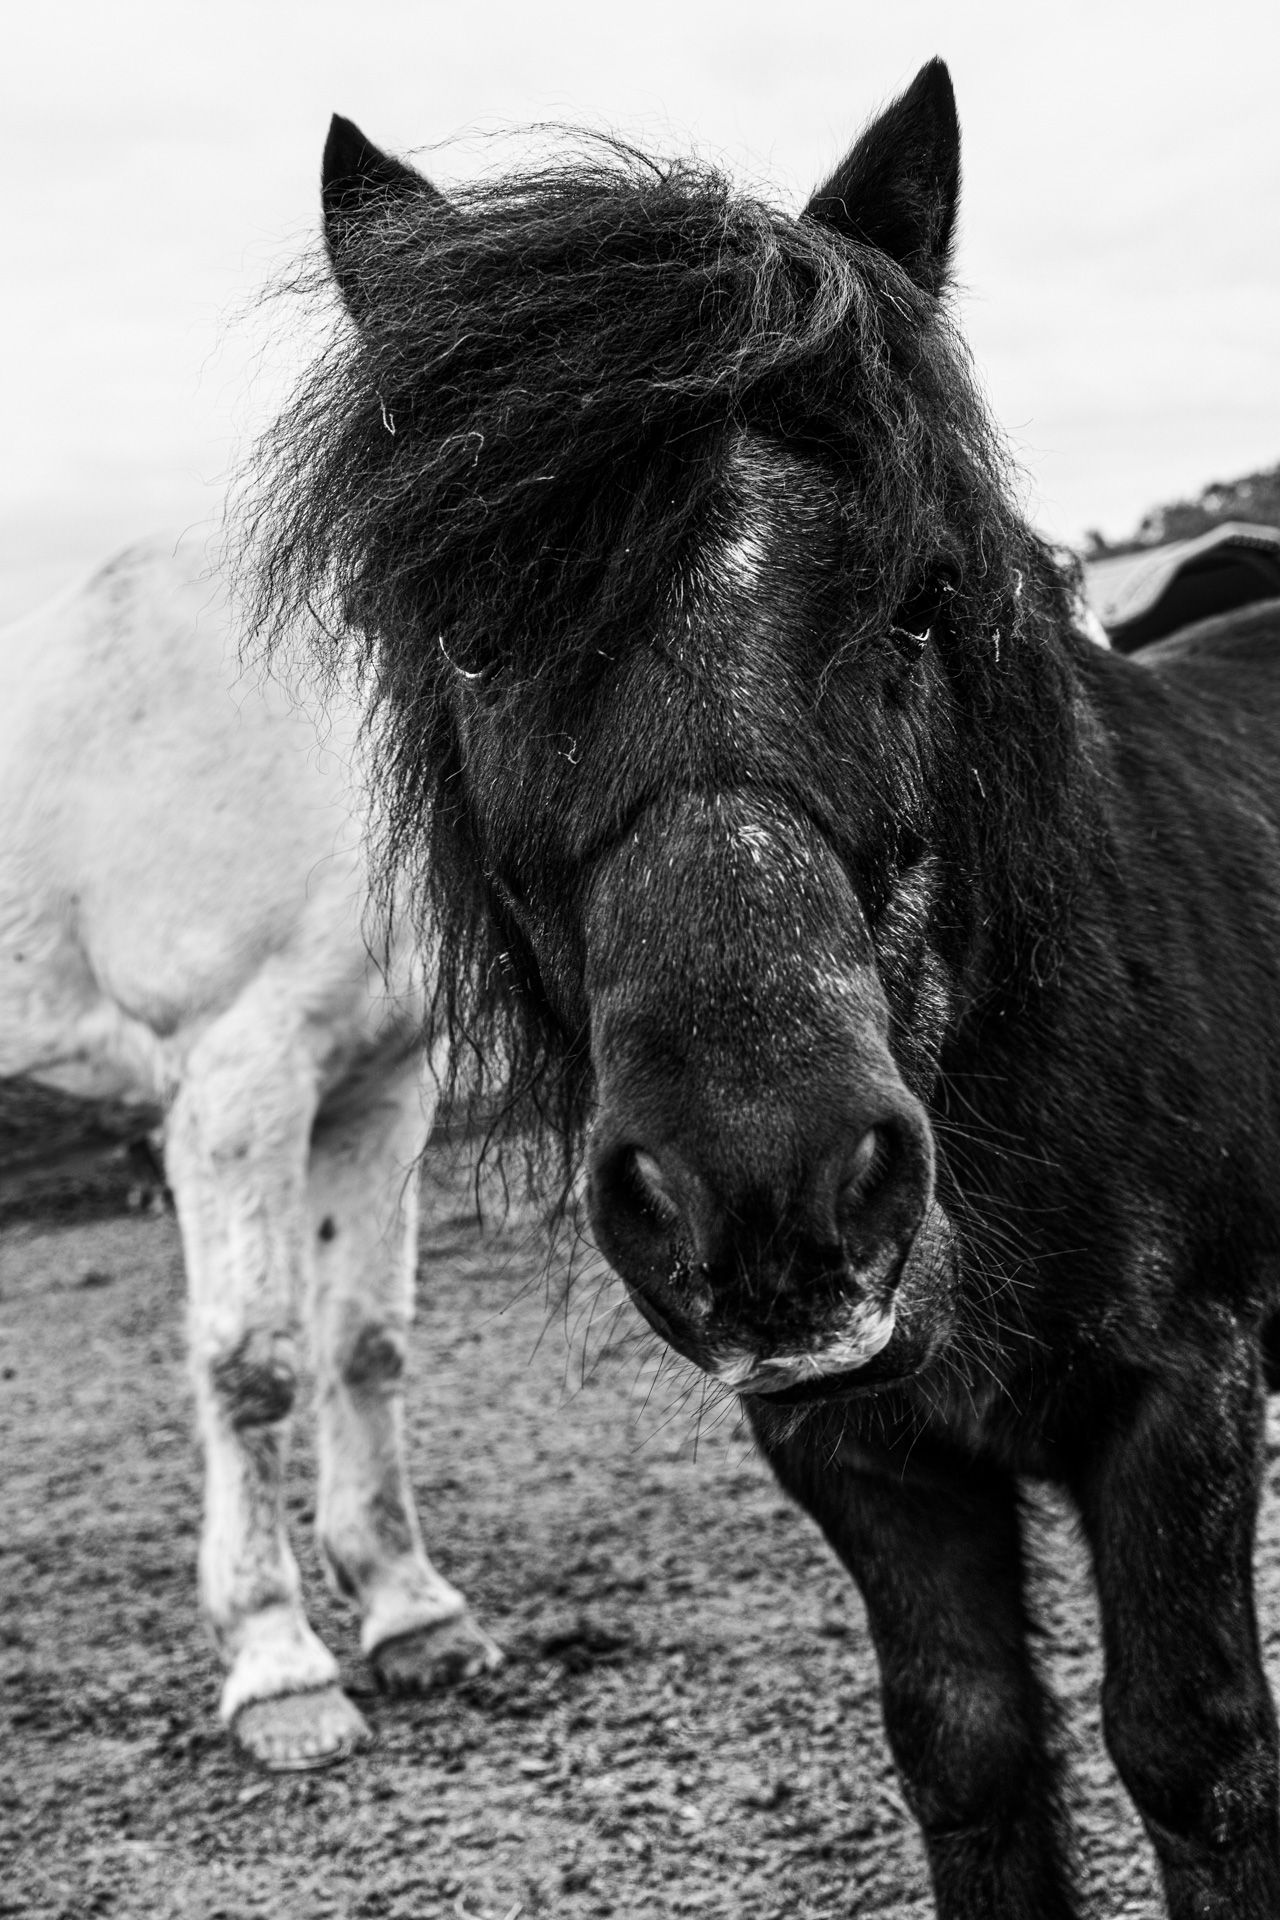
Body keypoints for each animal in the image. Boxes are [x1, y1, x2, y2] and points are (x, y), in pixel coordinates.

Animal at [0, 534, 500, 1772]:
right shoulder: (240, 1077)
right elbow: (253, 1367)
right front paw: (278, 1668)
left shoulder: (378, 1091)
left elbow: (362, 1345)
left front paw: (410, 1613)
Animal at [242, 57, 1280, 1916]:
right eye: (470, 638)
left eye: (925, 599)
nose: (768, 1185)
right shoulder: (857, 1453)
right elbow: (968, 1751)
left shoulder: (1186, 1393)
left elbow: (1194, 1757)